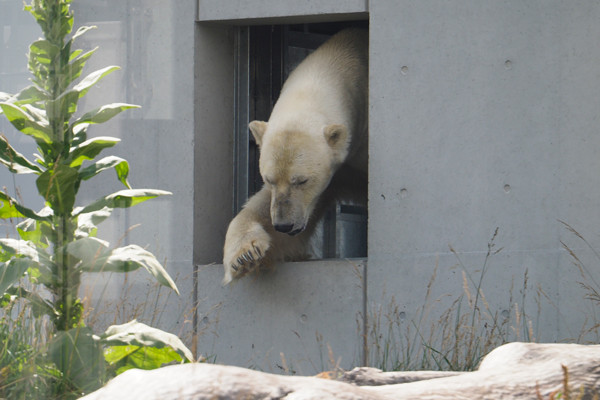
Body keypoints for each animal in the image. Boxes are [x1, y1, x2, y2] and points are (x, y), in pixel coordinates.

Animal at [223, 28, 368, 284]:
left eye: (302, 180)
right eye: (268, 179)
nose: (284, 224)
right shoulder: (337, 171)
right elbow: (262, 210)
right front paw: (245, 255)